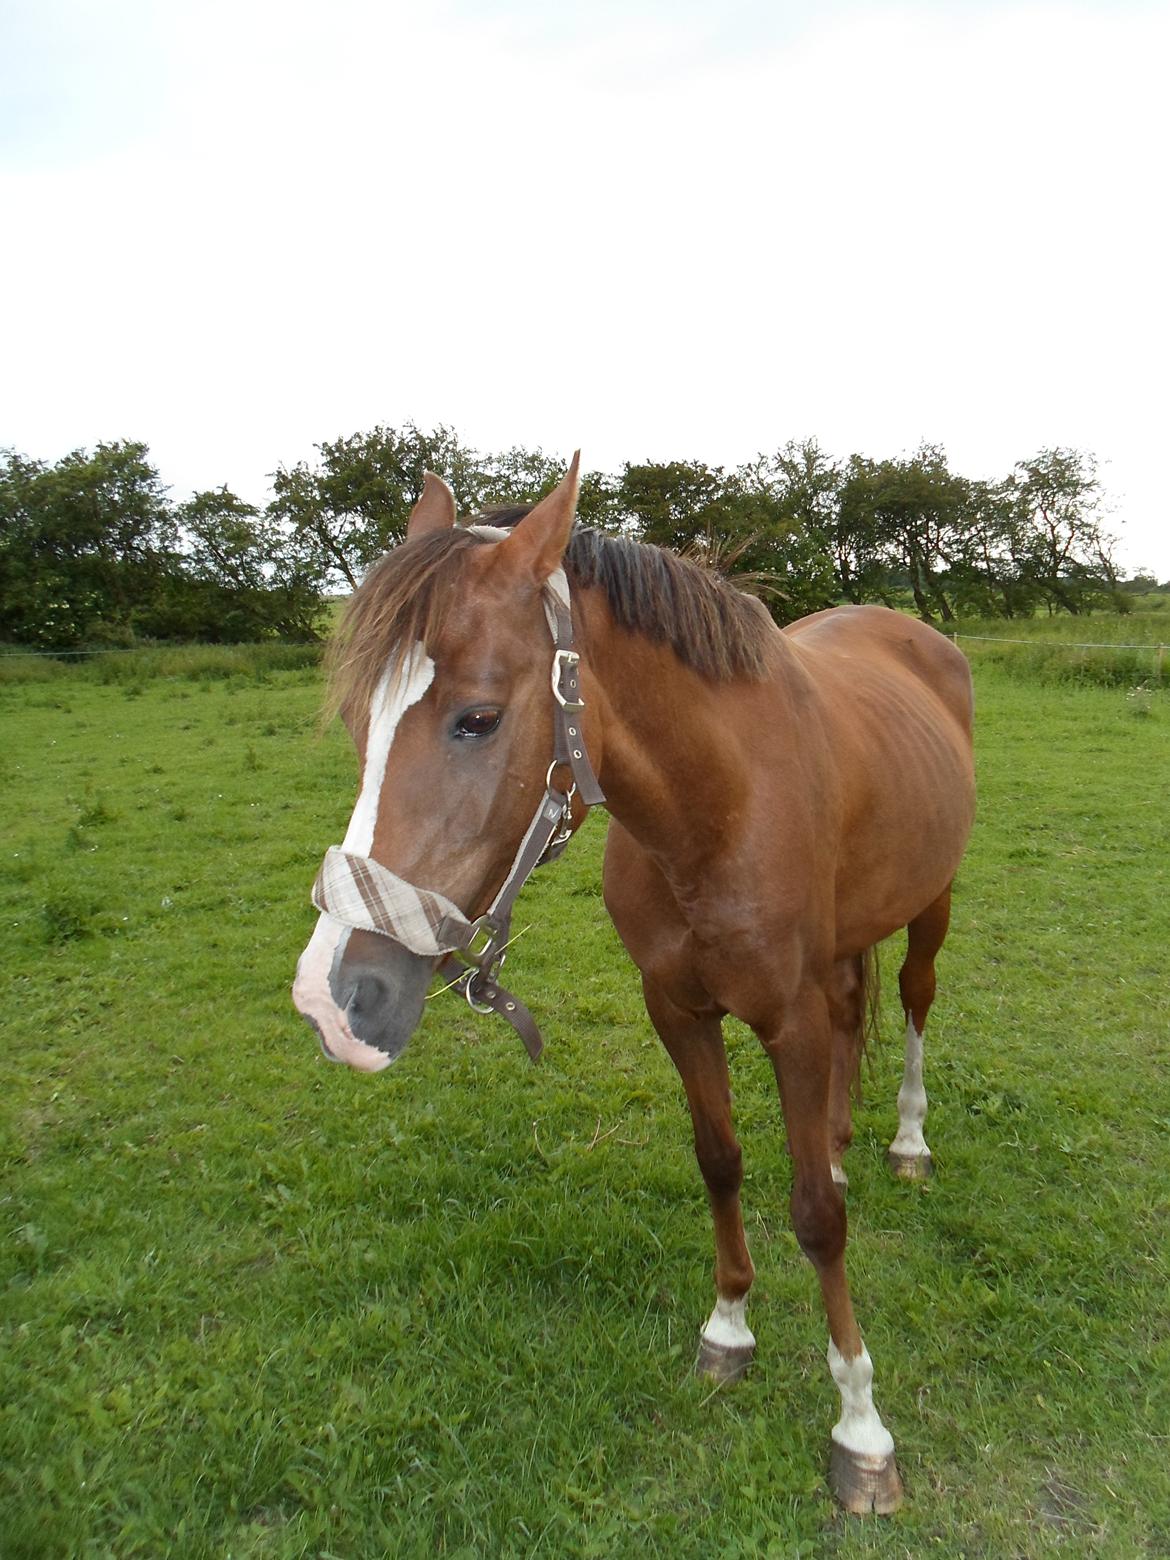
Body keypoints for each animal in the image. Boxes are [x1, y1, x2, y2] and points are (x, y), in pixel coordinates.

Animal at [293, 455, 979, 1510]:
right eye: (358, 723)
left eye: (478, 719)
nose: (333, 1001)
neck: (718, 805)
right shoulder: (678, 1010)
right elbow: (721, 1160)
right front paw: (728, 1329)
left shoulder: (785, 1019)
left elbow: (819, 1221)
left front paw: (861, 1430)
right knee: (851, 1018)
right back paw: (837, 1143)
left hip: (930, 904)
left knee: (910, 1001)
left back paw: (906, 1141)